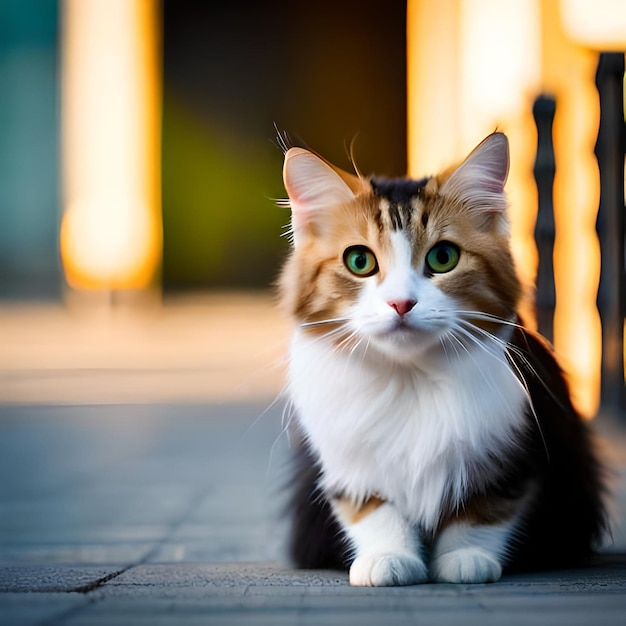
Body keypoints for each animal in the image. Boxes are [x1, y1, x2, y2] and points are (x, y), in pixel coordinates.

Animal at [276, 133, 608, 584]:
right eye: (359, 261)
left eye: (442, 258)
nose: (401, 303)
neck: (410, 377)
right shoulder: (348, 463)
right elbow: (373, 512)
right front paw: (388, 558)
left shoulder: (511, 457)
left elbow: (482, 512)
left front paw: (465, 558)